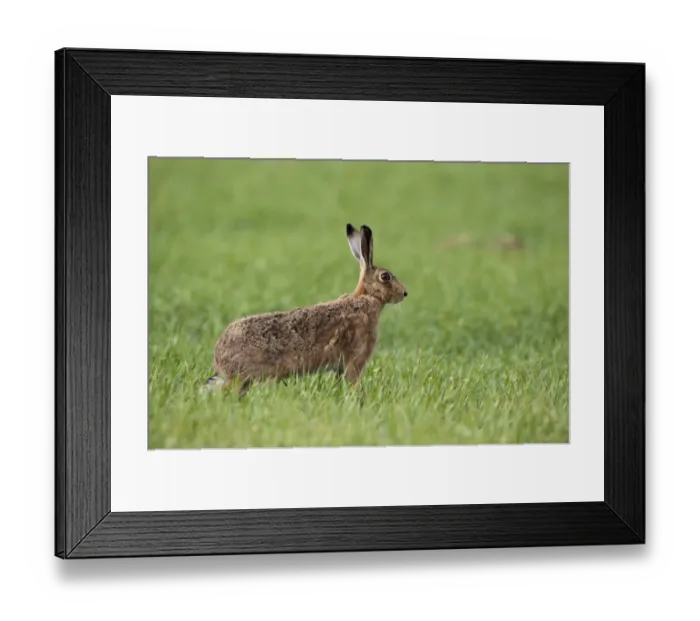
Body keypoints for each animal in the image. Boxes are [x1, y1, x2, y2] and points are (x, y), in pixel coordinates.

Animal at [206, 223, 407, 397]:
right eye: (385, 276)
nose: (404, 293)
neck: (368, 297)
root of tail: (218, 358)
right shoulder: (355, 359)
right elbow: (353, 380)